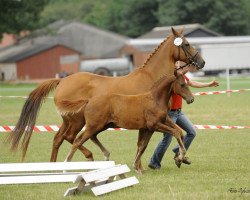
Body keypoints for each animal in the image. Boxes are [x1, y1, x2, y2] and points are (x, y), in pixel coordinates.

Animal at [63, 72, 194, 173]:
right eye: (182, 84)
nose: (191, 99)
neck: (155, 100)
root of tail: (89, 101)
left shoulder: (154, 126)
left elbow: (145, 145)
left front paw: (179, 158)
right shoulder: (154, 125)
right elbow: (175, 132)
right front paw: (181, 156)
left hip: (102, 126)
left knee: (92, 137)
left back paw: (105, 156)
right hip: (94, 126)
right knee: (77, 141)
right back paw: (66, 166)